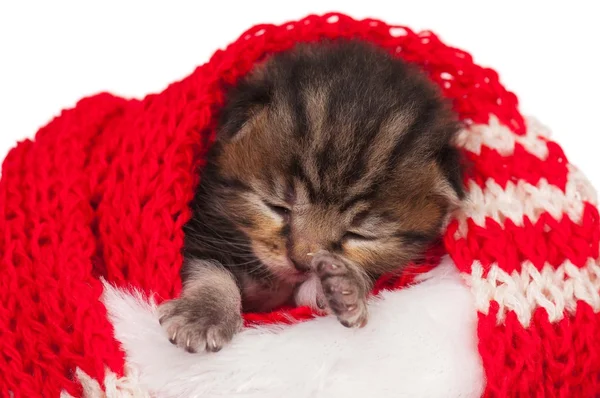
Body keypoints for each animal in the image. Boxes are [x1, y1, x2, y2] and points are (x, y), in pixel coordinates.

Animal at [158, 38, 464, 352]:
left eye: (359, 235)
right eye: (278, 207)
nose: (301, 263)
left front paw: (345, 285)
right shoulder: (199, 231)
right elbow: (209, 267)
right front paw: (204, 313)